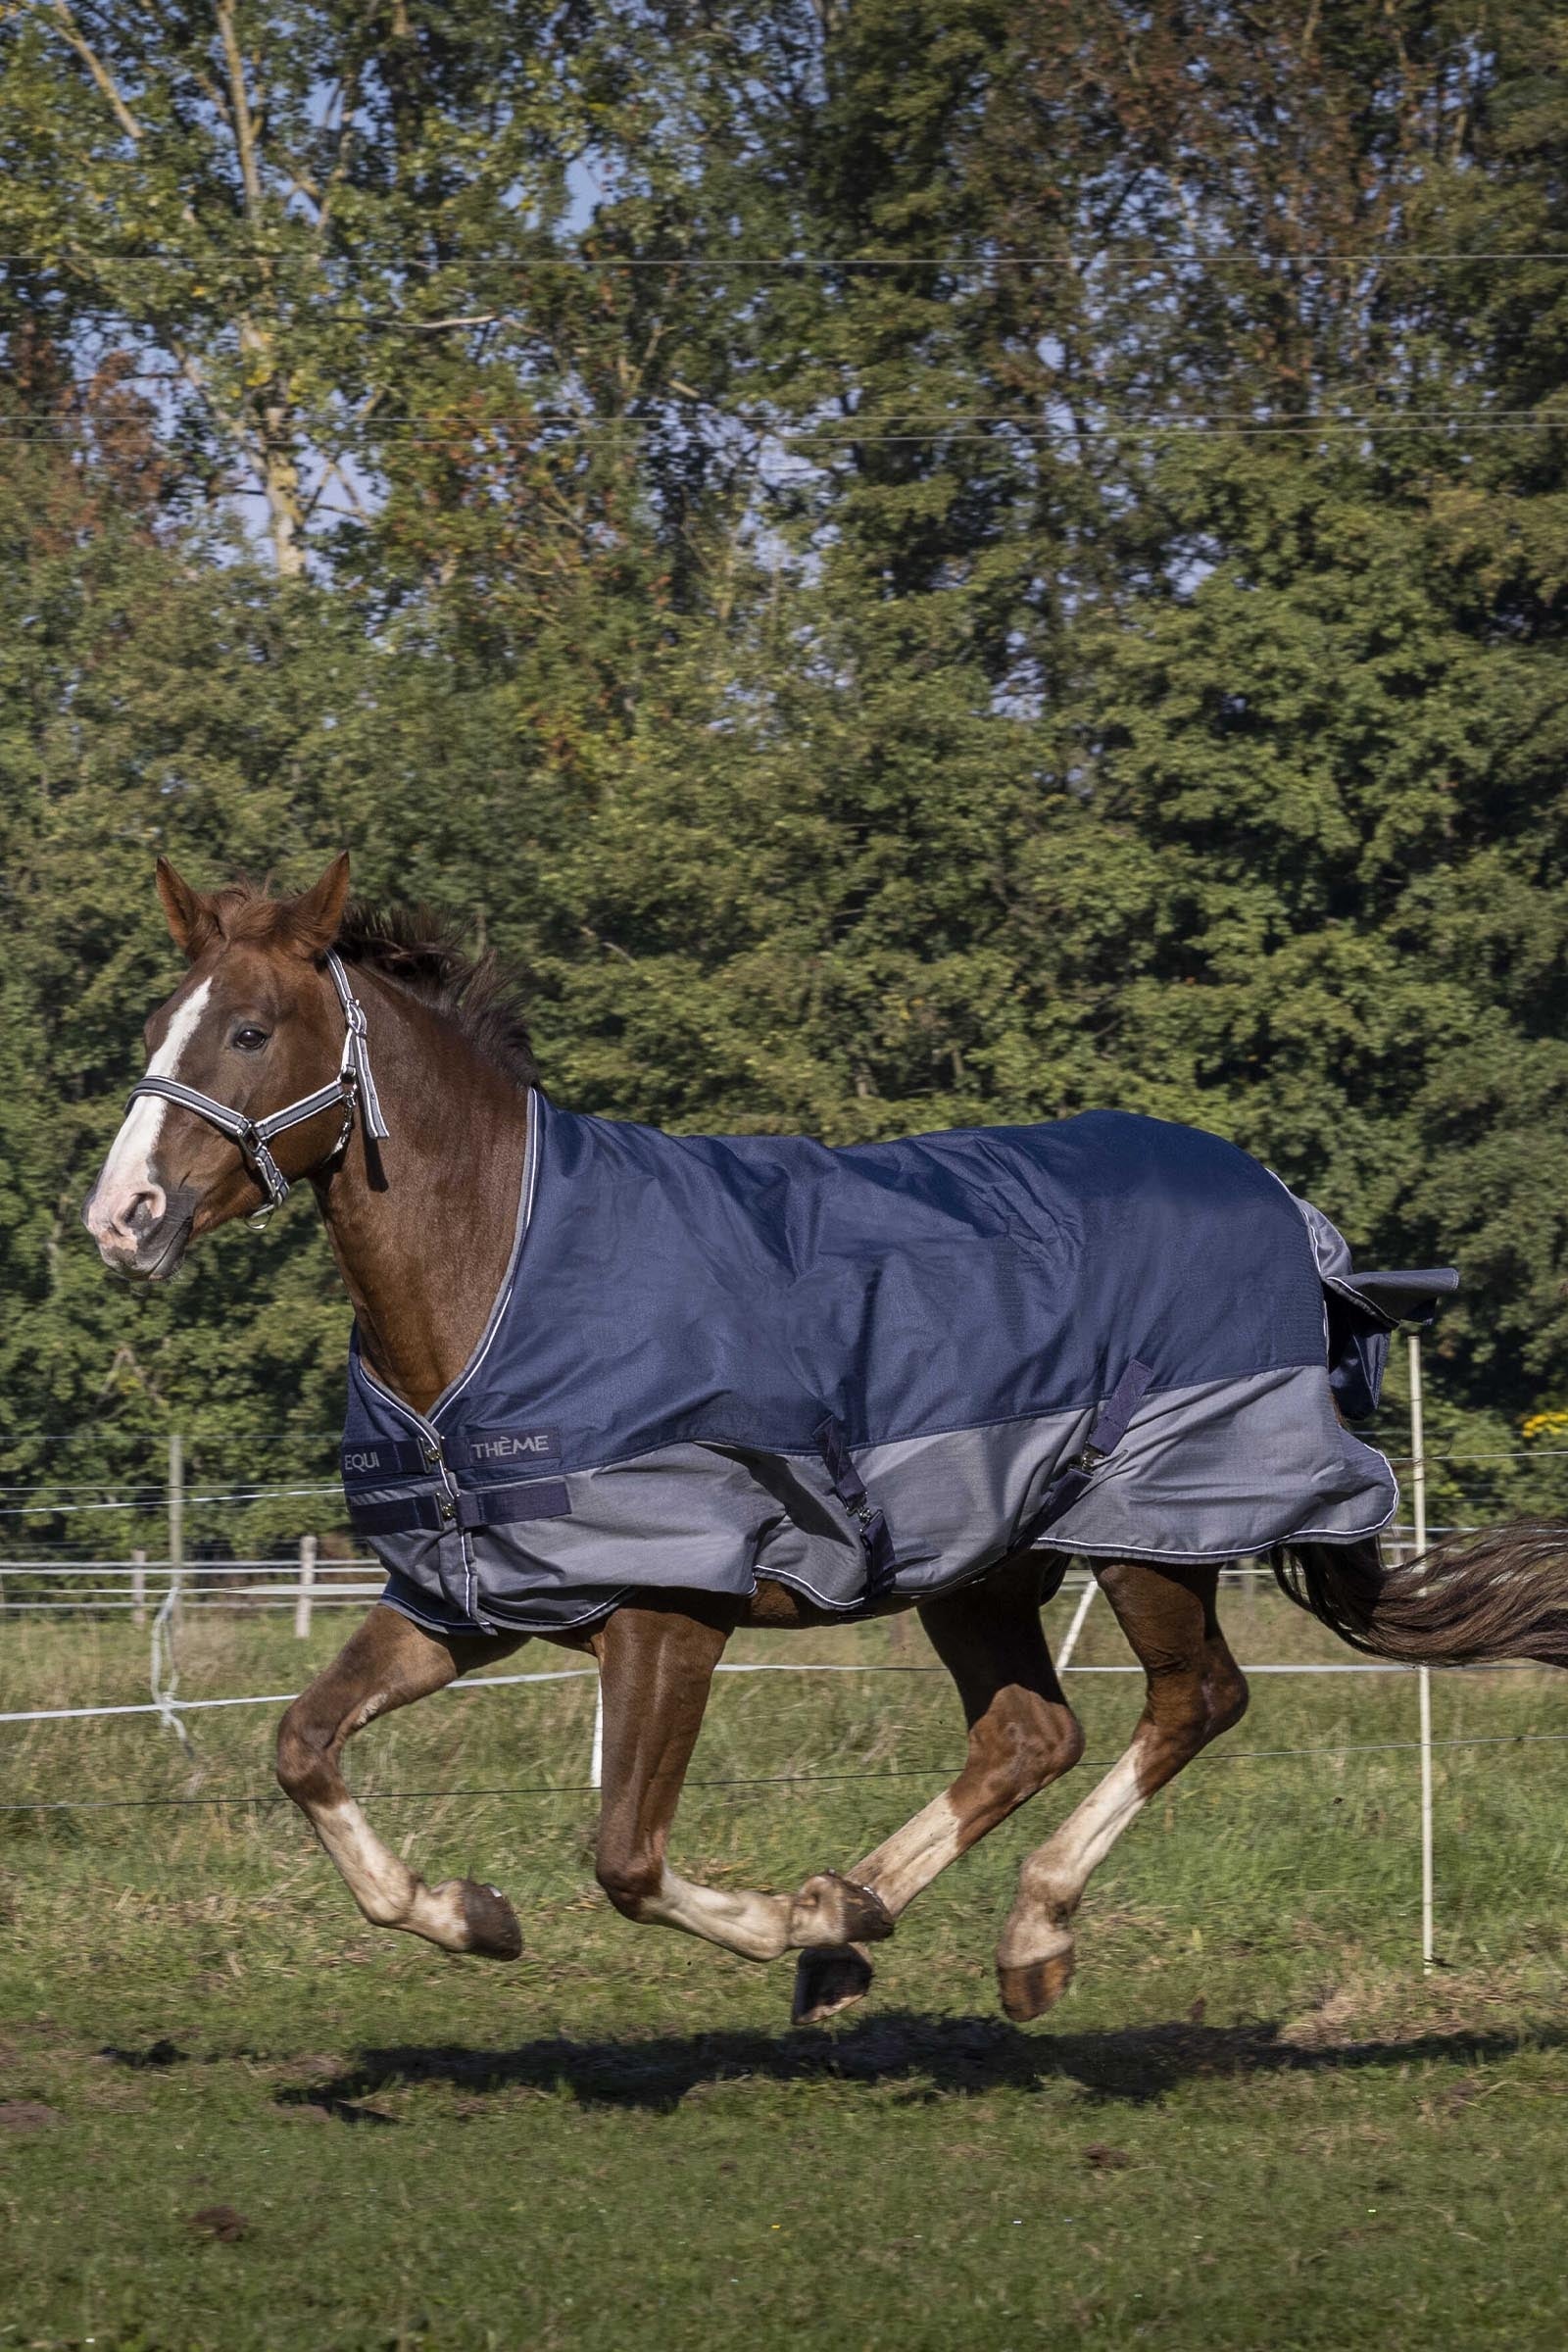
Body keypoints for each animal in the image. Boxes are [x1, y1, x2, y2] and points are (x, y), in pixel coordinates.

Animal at [82, 853, 1568, 2026]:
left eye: (252, 1031)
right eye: (159, 1023)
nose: (122, 1217)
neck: (504, 1272)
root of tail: (1292, 1219)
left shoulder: (671, 1611)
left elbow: (625, 1857)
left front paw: (782, 1921)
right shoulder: (470, 1597)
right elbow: (303, 1745)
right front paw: (474, 1915)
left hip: (1155, 1536)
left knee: (1195, 1702)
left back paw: (1011, 1933)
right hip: (982, 1566)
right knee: (1029, 1734)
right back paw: (863, 1926)